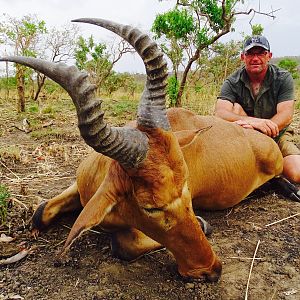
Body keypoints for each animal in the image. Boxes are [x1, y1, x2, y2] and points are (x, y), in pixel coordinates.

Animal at [0, 18, 286, 282]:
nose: (211, 270)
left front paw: (204, 224)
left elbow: (122, 245)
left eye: (187, 189)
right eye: (150, 207)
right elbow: (40, 212)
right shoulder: (78, 188)